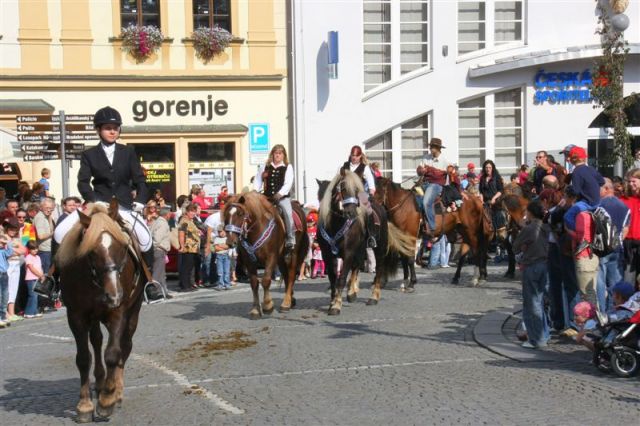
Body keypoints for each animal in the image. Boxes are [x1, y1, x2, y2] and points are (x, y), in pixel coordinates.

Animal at [55, 201, 146, 422]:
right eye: (92, 251)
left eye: (122, 247)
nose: (114, 295)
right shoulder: (76, 316)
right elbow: (83, 358)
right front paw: (85, 405)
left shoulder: (118, 313)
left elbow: (113, 354)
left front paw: (106, 402)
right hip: (94, 317)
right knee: (96, 341)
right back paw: (100, 381)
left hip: (133, 311)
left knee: (125, 345)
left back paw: (115, 391)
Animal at [221, 191, 308, 320]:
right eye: (226, 215)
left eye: (240, 214)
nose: (231, 242)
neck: (257, 229)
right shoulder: (249, 261)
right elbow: (254, 283)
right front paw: (255, 310)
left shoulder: (271, 257)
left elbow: (266, 280)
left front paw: (267, 306)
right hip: (281, 259)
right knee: (286, 276)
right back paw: (291, 300)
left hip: (292, 254)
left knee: (291, 275)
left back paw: (286, 303)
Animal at [316, 171, 416, 314]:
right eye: (343, 189)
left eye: (356, 190)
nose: (351, 213)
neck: (335, 224)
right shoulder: (328, 256)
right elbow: (333, 279)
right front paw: (333, 302)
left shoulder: (348, 253)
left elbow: (341, 279)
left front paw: (336, 305)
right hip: (360, 248)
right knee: (357, 265)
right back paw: (352, 293)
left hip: (379, 248)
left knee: (379, 269)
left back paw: (374, 297)